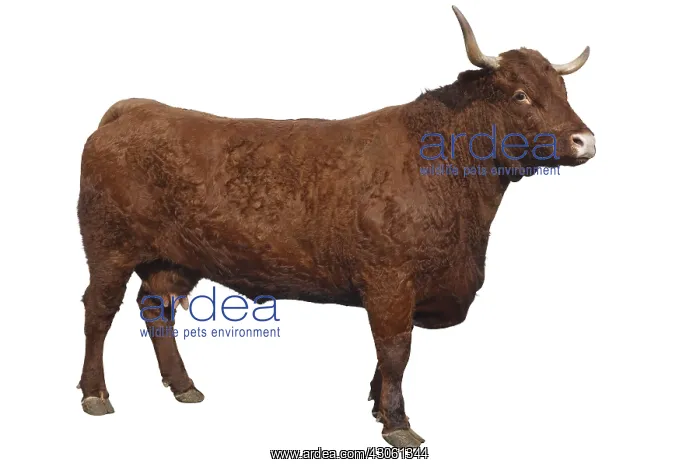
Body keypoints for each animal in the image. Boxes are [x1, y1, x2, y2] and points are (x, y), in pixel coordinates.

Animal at [76, 5, 595, 448]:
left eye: (564, 93)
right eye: (521, 94)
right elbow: (396, 350)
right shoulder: (389, 281)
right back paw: (95, 394)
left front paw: (378, 407)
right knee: (99, 311)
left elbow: (387, 357)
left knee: (157, 307)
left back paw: (184, 385)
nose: (584, 140)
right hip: (109, 248)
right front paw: (398, 423)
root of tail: (136, 109)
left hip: (175, 258)